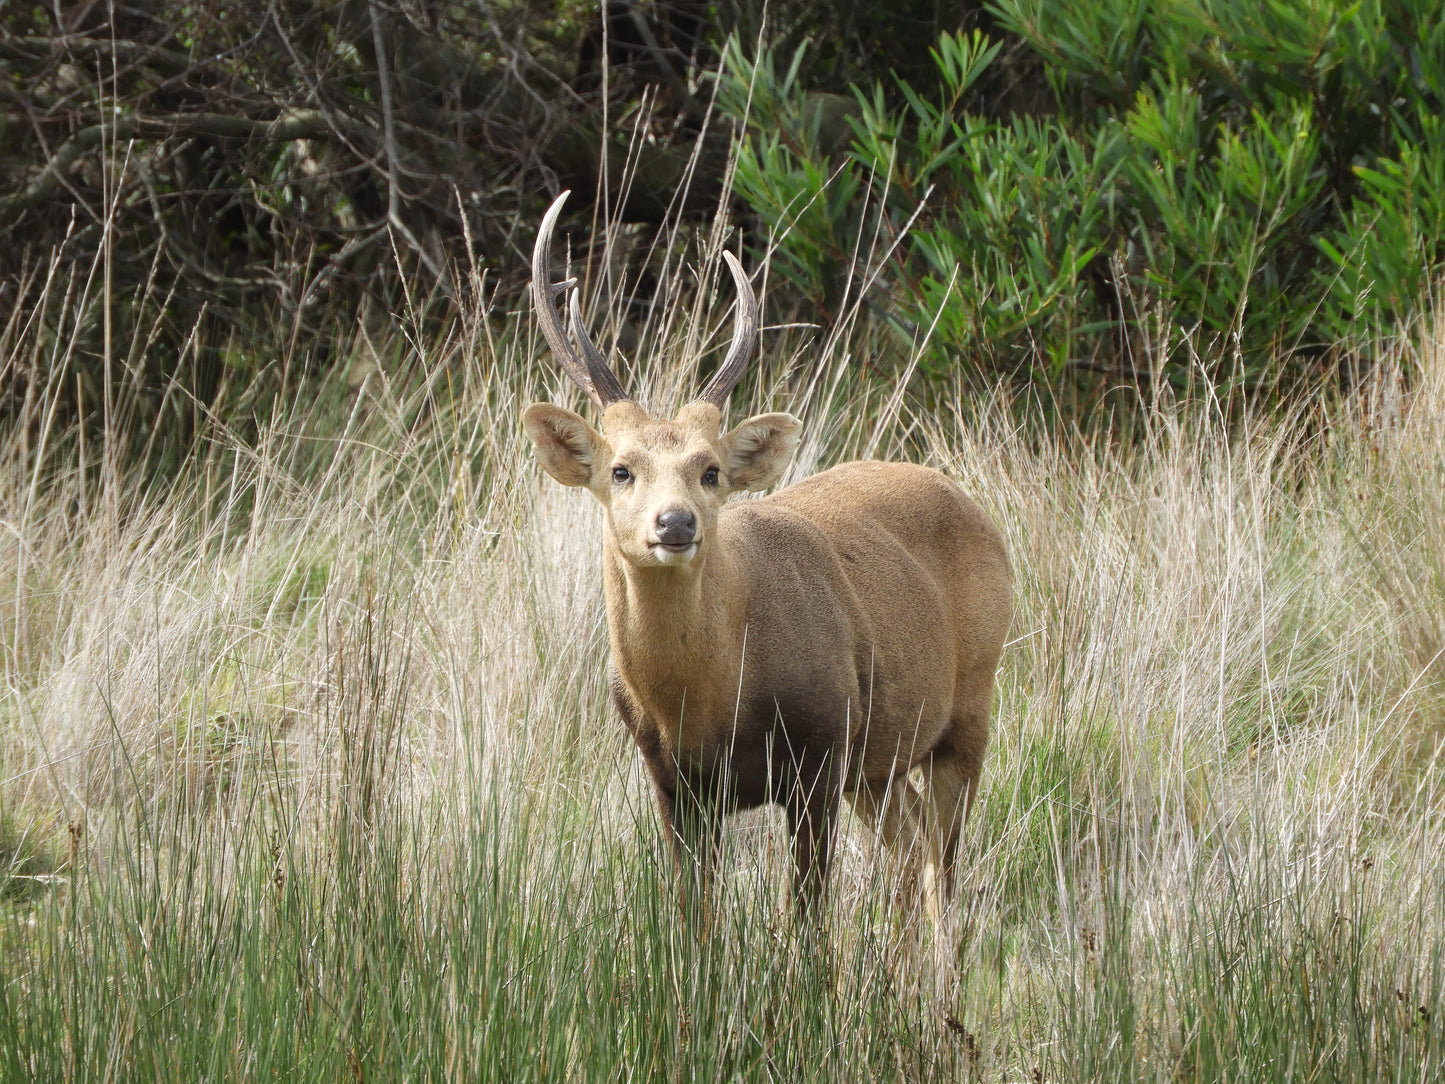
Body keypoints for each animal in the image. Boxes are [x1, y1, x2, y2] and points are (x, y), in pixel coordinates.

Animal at [522, 191, 1012, 922]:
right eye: (620, 470)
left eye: (710, 470)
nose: (675, 523)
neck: (708, 702)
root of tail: (967, 501)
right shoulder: (673, 784)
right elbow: (694, 923)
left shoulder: (818, 755)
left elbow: (806, 922)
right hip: (879, 759)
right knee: (909, 849)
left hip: (969, 706)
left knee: (940, 867)